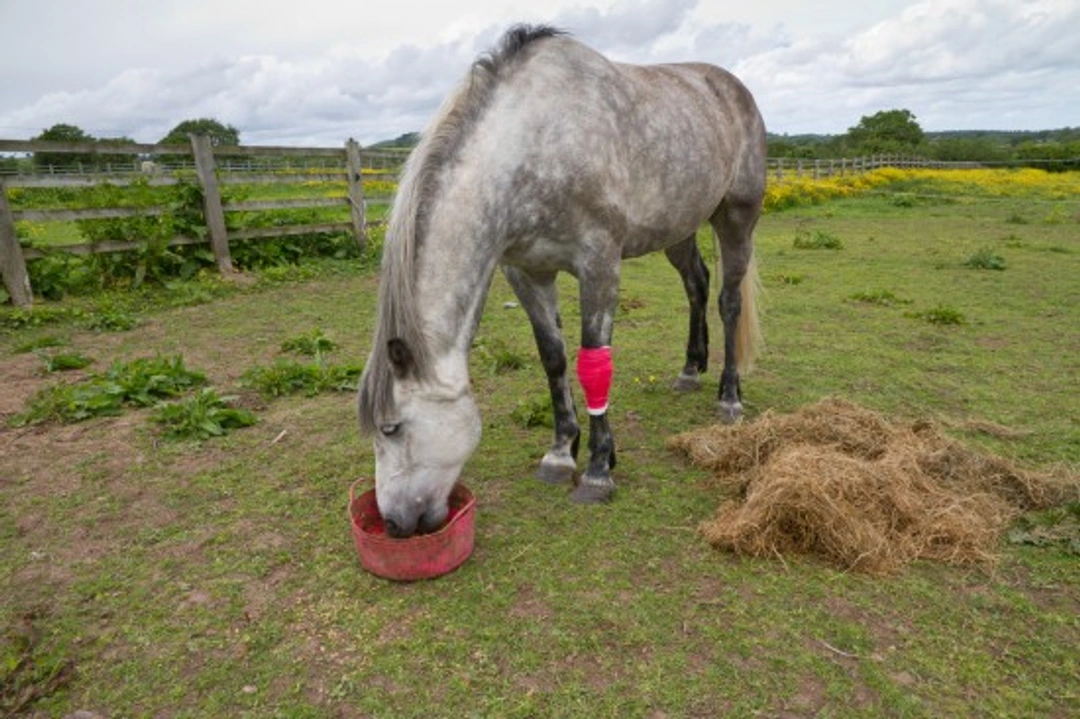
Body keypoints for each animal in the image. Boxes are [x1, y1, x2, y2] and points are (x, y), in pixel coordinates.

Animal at [358, 25, 765, 538]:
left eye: (393, 427)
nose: (394, 523)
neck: (532, 143)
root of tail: (733, 88)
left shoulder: (600, 264)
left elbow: (594, 363)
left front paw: (598, 469)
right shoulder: (525, 271)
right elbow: (552, 356)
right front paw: (559, 452)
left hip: (736, 218)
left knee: (729, 301)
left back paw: (729, 396)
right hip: (680, 229)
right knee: (697, 284)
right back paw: (691, 369)